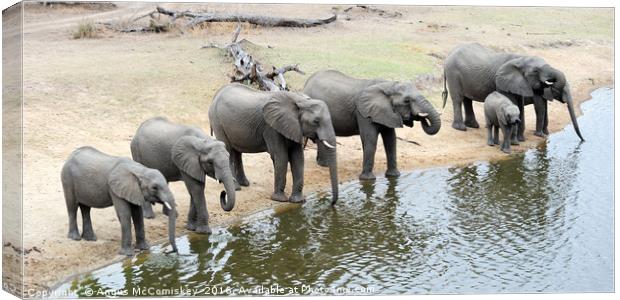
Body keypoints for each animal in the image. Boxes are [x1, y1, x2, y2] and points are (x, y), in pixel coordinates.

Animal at [209, 83, 340, 205]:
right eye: (316, 121)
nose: (332, 203)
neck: (299, 100)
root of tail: (216, 95)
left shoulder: (293, 127)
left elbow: (298, 158)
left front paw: (298, 201)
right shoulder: (271, 128)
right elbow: (281, 156)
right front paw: (280, 199)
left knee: (237, 152)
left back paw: (245, 184)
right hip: (218, 122)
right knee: (228, 150)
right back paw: (237, 188)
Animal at [304, 69, 440, 180]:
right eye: (407, 101)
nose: (420, 117)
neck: (388, 85)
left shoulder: (386, 113)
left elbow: (391, 139)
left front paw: (394, 176)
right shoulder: (363, 113)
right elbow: (370, 139)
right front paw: (368, 179)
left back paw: (323, 163)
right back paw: (325, 165)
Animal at [440, 41, 580, 142]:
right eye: (536, 71)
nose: (548, 81)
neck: (520, 59)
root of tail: (447, 57)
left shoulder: (521, 84)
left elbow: (522, 106)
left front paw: (522, 139)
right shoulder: (502, 81)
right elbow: (538, 107)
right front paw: (538, 135)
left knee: (467, 99)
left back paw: (473, 126)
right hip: (453, 73)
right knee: (458, 99)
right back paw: (461, 128)